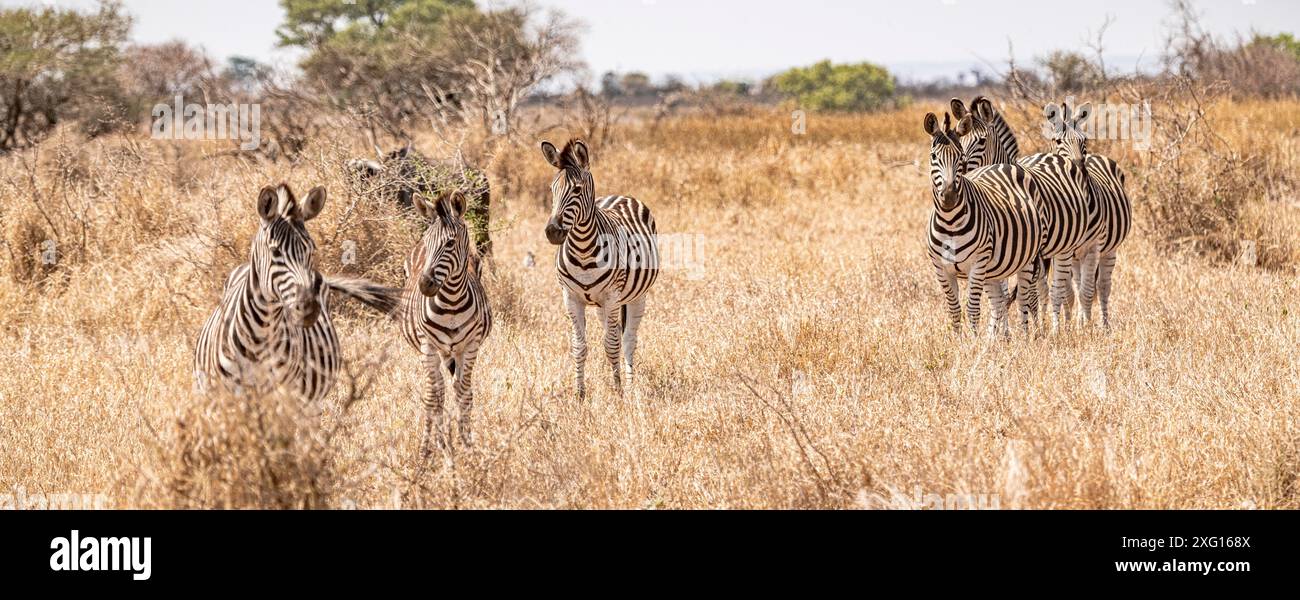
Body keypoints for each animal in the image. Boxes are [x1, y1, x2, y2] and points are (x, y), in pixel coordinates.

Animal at [397, 189, 488, 451]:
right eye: (428, 243)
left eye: (450, 243)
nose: (425, 284)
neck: (452, 303)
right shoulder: (428, 347)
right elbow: (433, 398)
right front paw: (429, 449)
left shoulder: (471, 346)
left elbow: (464, 394)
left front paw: (467, 444)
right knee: (437, 392)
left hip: (453, 352)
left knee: (455, 389)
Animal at [540, 138, 660, 400]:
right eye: (551, 189)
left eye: (576, 190)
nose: (552, 232)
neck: (584, 250)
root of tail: (620, 195)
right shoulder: (571, 298)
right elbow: (579, 346)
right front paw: (580, 394)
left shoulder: (612, 296)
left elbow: (613, 344)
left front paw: (618, 391)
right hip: (600, 305)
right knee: (612, 332)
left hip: (636, 297)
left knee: (628, 339)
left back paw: (629, 384)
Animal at [925, 111, 1045, 337]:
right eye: (934, 157)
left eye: (960, 157)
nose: (949, 197)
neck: (950, 222)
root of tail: (1001, 164)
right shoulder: (941, 268)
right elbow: (954, 310)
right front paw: (957, 341)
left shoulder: (977, 264)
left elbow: (972, 309)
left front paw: (972, 341)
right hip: (994, 268)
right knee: (999, 301)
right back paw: (998, 339)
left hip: (1029, 258)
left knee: (1025, 299)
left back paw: (1027, 337)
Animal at [951, 98, 1102, 332]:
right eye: (959, 140)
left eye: (982, 141)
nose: (962, 172)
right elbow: (1003, 292)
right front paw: (1001, 330)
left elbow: (1030, 294)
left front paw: (1032, 329)